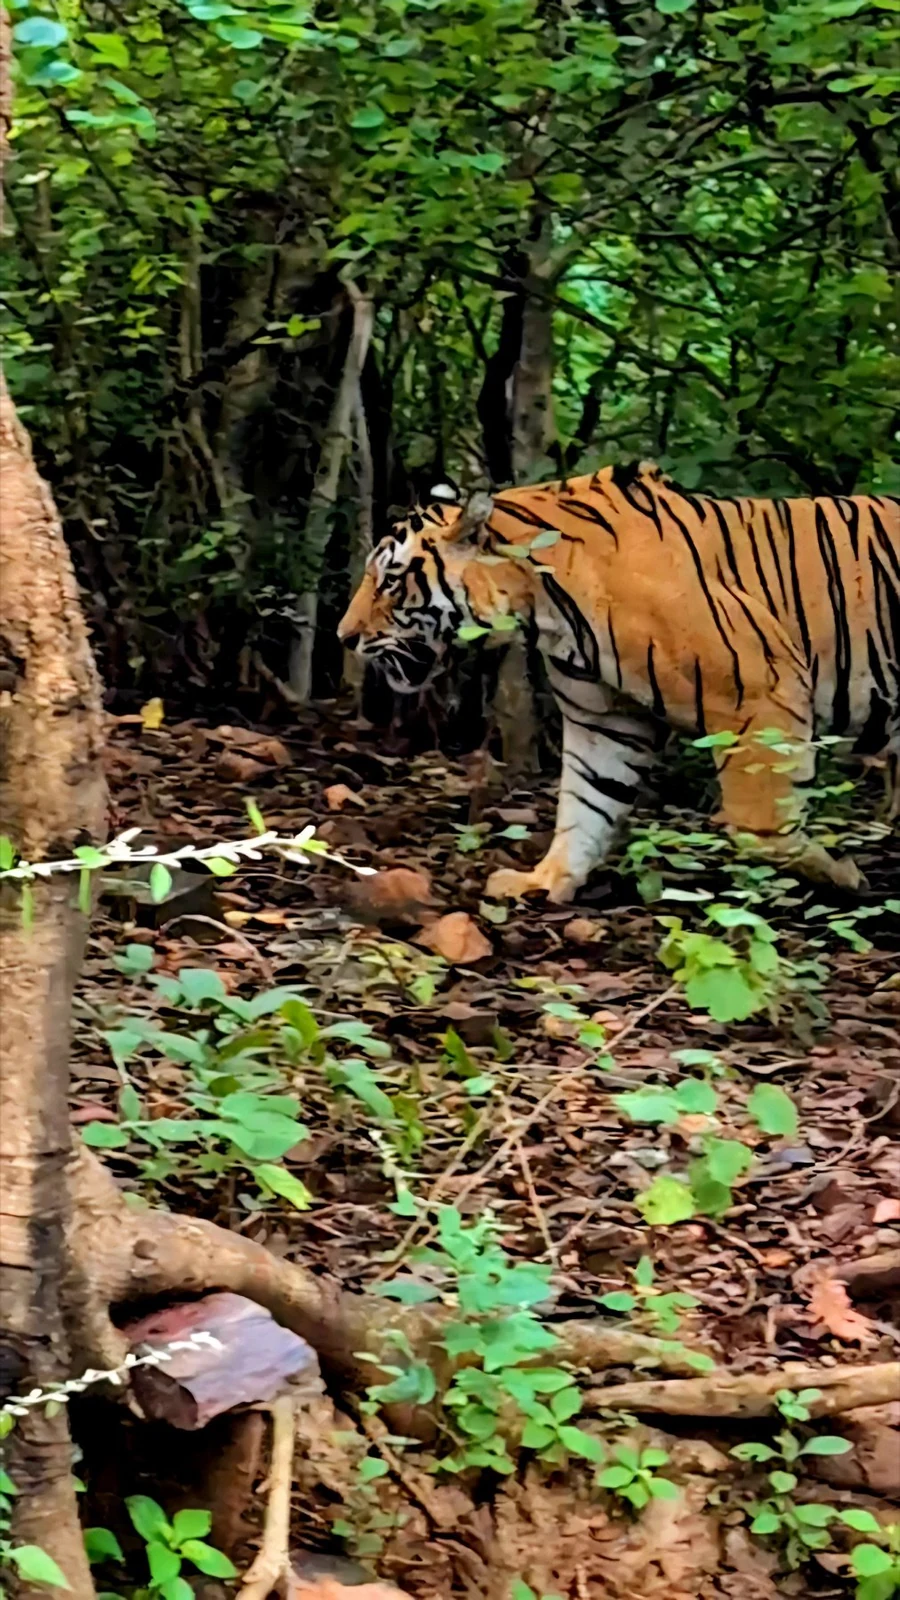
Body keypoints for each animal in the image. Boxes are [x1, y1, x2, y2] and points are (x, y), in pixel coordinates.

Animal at [337, 463, 900, 902]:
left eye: (390, 581)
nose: (344, 636)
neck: (544, 606)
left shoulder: (758, 691)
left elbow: (761, 827)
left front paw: (841, 876)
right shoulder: (605, 718)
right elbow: (587, 803)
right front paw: (543, 880)